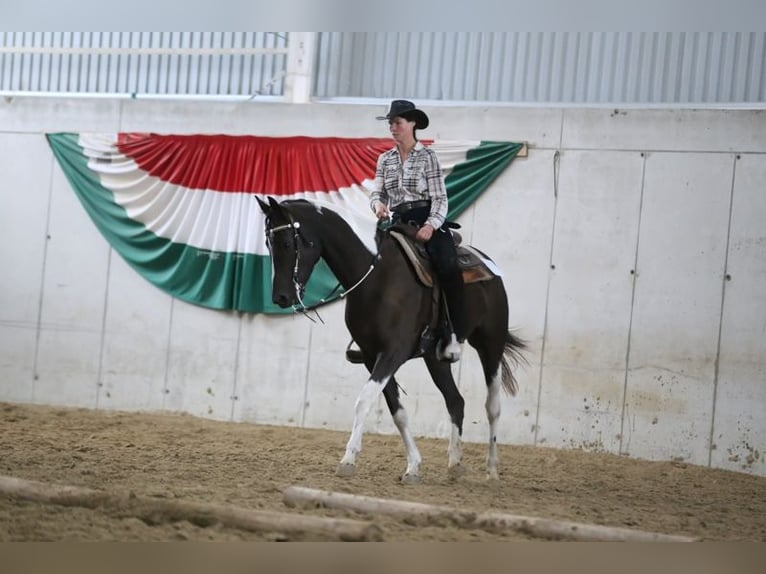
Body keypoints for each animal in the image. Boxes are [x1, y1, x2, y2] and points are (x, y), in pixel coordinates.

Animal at [258, 196, 528, 484]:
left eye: (287, 243)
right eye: (268, 244)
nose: (280, 297)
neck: (376, 274)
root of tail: (487, 262)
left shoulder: (392, 353)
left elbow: (364, 401)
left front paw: (348, 459)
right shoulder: (370, 355)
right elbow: (397, 411)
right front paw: (413, 467)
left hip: (491, 343)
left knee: (493, 406)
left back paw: (492, 470)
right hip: (435, 359)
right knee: (456, 401)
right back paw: (455, 463)